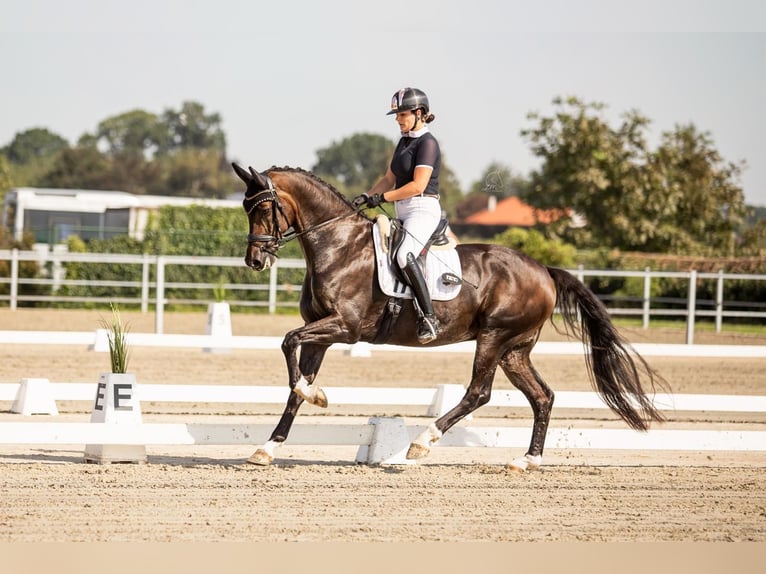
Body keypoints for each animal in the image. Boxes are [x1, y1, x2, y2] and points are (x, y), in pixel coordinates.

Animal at [234, 162, 672, 472]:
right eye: (244, 208)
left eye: (265, 207)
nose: (255, 260)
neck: (339, 245)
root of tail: (544, 270)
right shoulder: (322, 333)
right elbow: (295, 384)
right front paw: (267, 447)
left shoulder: (346, 327)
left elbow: (289, 342)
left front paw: (317, 396)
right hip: (515, 350)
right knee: (542, 396)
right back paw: (526, 460)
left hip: (494, 338)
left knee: (479, 392)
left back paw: (421, 443)